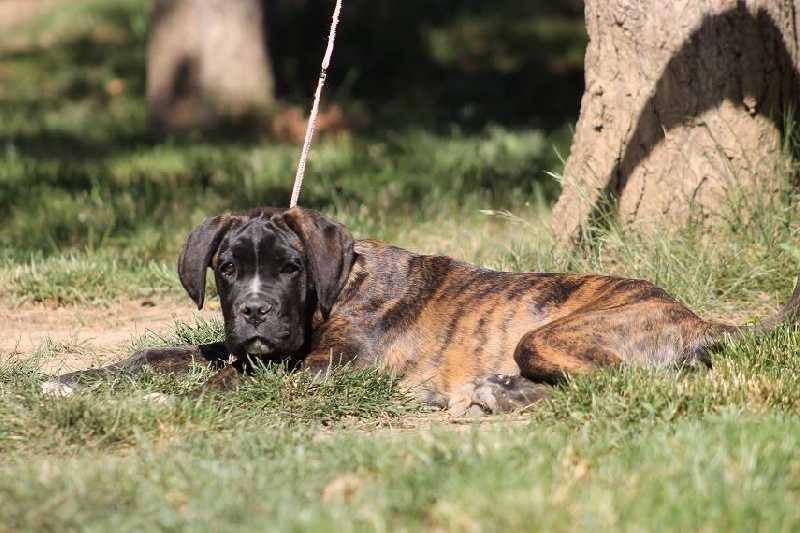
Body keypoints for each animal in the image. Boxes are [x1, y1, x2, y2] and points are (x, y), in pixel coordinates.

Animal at [40, 206, 800, 414]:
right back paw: (491, 393)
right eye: (227, 269)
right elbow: (163, 355)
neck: (336, 287)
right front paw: (71, 382)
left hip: (551, 333)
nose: (253, 311)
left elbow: (225, 382)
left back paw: (498, 395)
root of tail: (696, 317)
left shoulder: (326, 370)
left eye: (289, 268)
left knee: (627, 381)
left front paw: (163, 402)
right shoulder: (246, 349)